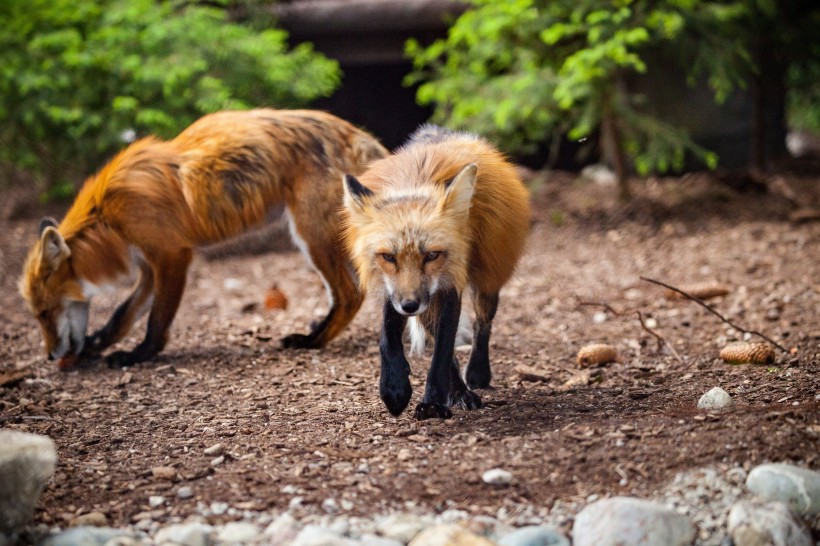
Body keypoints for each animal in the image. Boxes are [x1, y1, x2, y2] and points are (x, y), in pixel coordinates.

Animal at [18, 108, 388, 368]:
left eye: (45, 313)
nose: (50, 356)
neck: (107, 214)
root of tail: (358, 135)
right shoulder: (148, 264)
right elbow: (121, 316)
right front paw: (98, 345)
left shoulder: (171, 255)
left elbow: (155, 321)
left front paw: (139, 355)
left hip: (311, 236)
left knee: (351, 294)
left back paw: (311, 341)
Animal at [342, 125, 528, 418]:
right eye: (388, 257)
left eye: (431, 255)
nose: (409, 305)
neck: (417, 181)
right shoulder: (395, 290)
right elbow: (388, 338)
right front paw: (394, 387)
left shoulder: (450, 284)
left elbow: (442, 351)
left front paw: (432, 403)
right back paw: (459, 390)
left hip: (487, 280)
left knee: (481, 325)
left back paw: (476, 375)